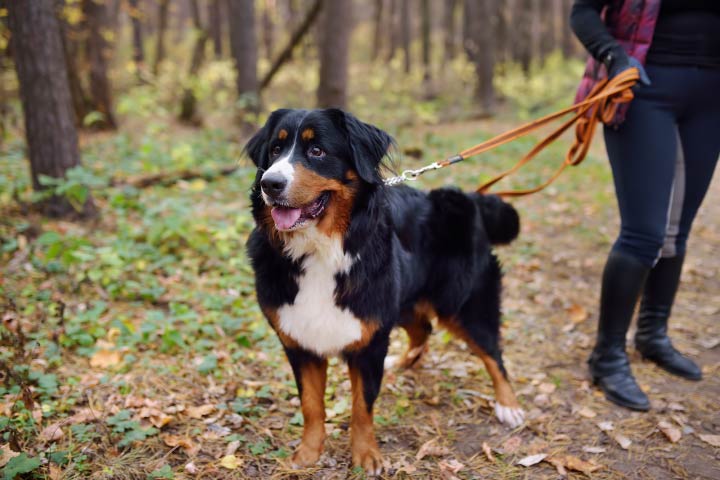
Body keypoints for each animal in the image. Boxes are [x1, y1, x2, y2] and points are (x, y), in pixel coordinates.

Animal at [246, 108, 524, 472]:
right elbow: (311, 403)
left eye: (317, 151)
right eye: (275, 150)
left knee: (492, 352)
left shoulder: (370, 339)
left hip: (461, 304)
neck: (320, 250)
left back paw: (509, 405)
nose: (270, 183)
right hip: (401, 303)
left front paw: (366, 455)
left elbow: (362, 405)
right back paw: (402, 363)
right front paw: (308, 453)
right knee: (423, 330)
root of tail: (469, 198)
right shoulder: (300, 340)